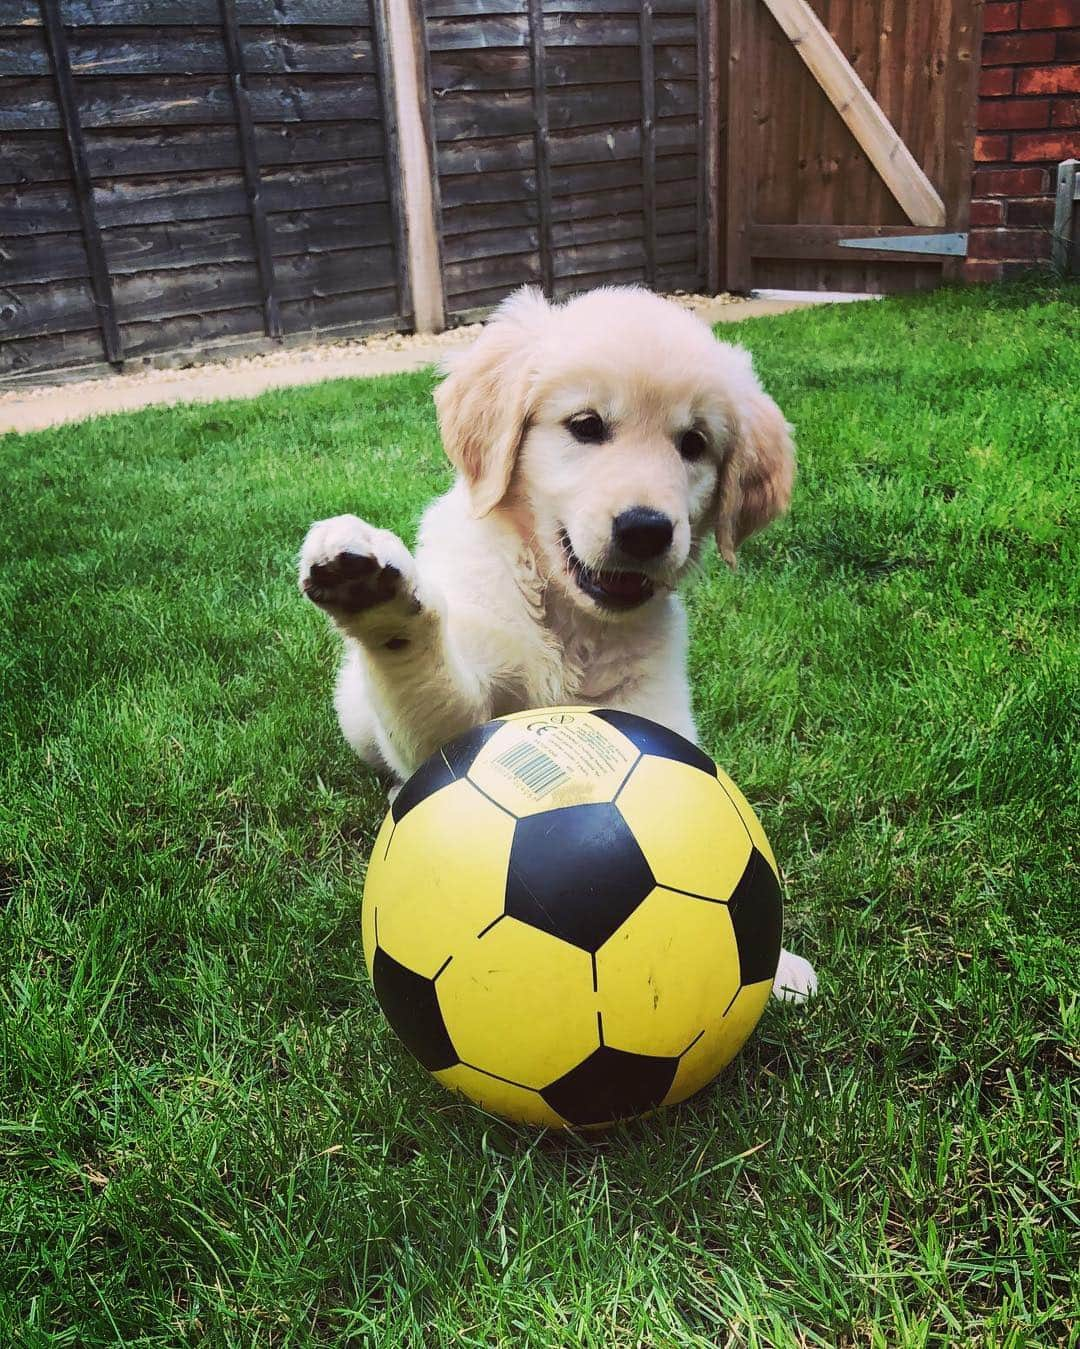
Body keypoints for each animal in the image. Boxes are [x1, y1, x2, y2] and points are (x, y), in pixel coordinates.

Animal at [299, 287, 814, 1003]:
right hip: (356, 710)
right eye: (587, 425)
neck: (572, 623)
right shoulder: (456, 723)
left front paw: (779, 960)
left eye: (694, 443)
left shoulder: (655, 714)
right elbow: (425, 672)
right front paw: (375, 597)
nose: (646, 530)